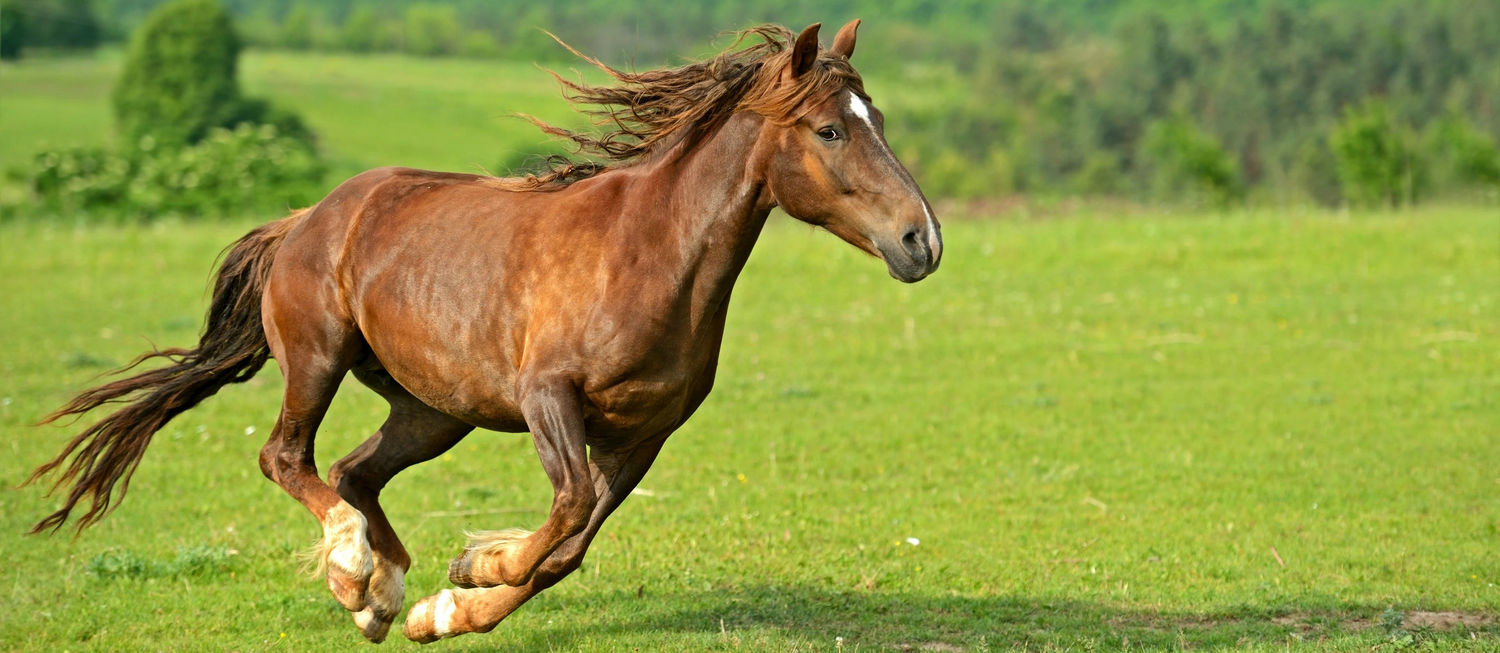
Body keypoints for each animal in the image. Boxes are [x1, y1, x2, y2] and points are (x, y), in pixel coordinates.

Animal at [29, 20, 942, 645]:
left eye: (876, 116)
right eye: (830, 129)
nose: (921, 241)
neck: (650, 253)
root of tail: (306, 218)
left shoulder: (644, 432)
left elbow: (569, 546)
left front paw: (446, 604)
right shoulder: (548, 398)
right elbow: (565, 512)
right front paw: (474, 568)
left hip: (434, 409)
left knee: (355, 471)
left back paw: (381, 596)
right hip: (318, 359)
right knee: (287, 457)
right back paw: (353, 570)